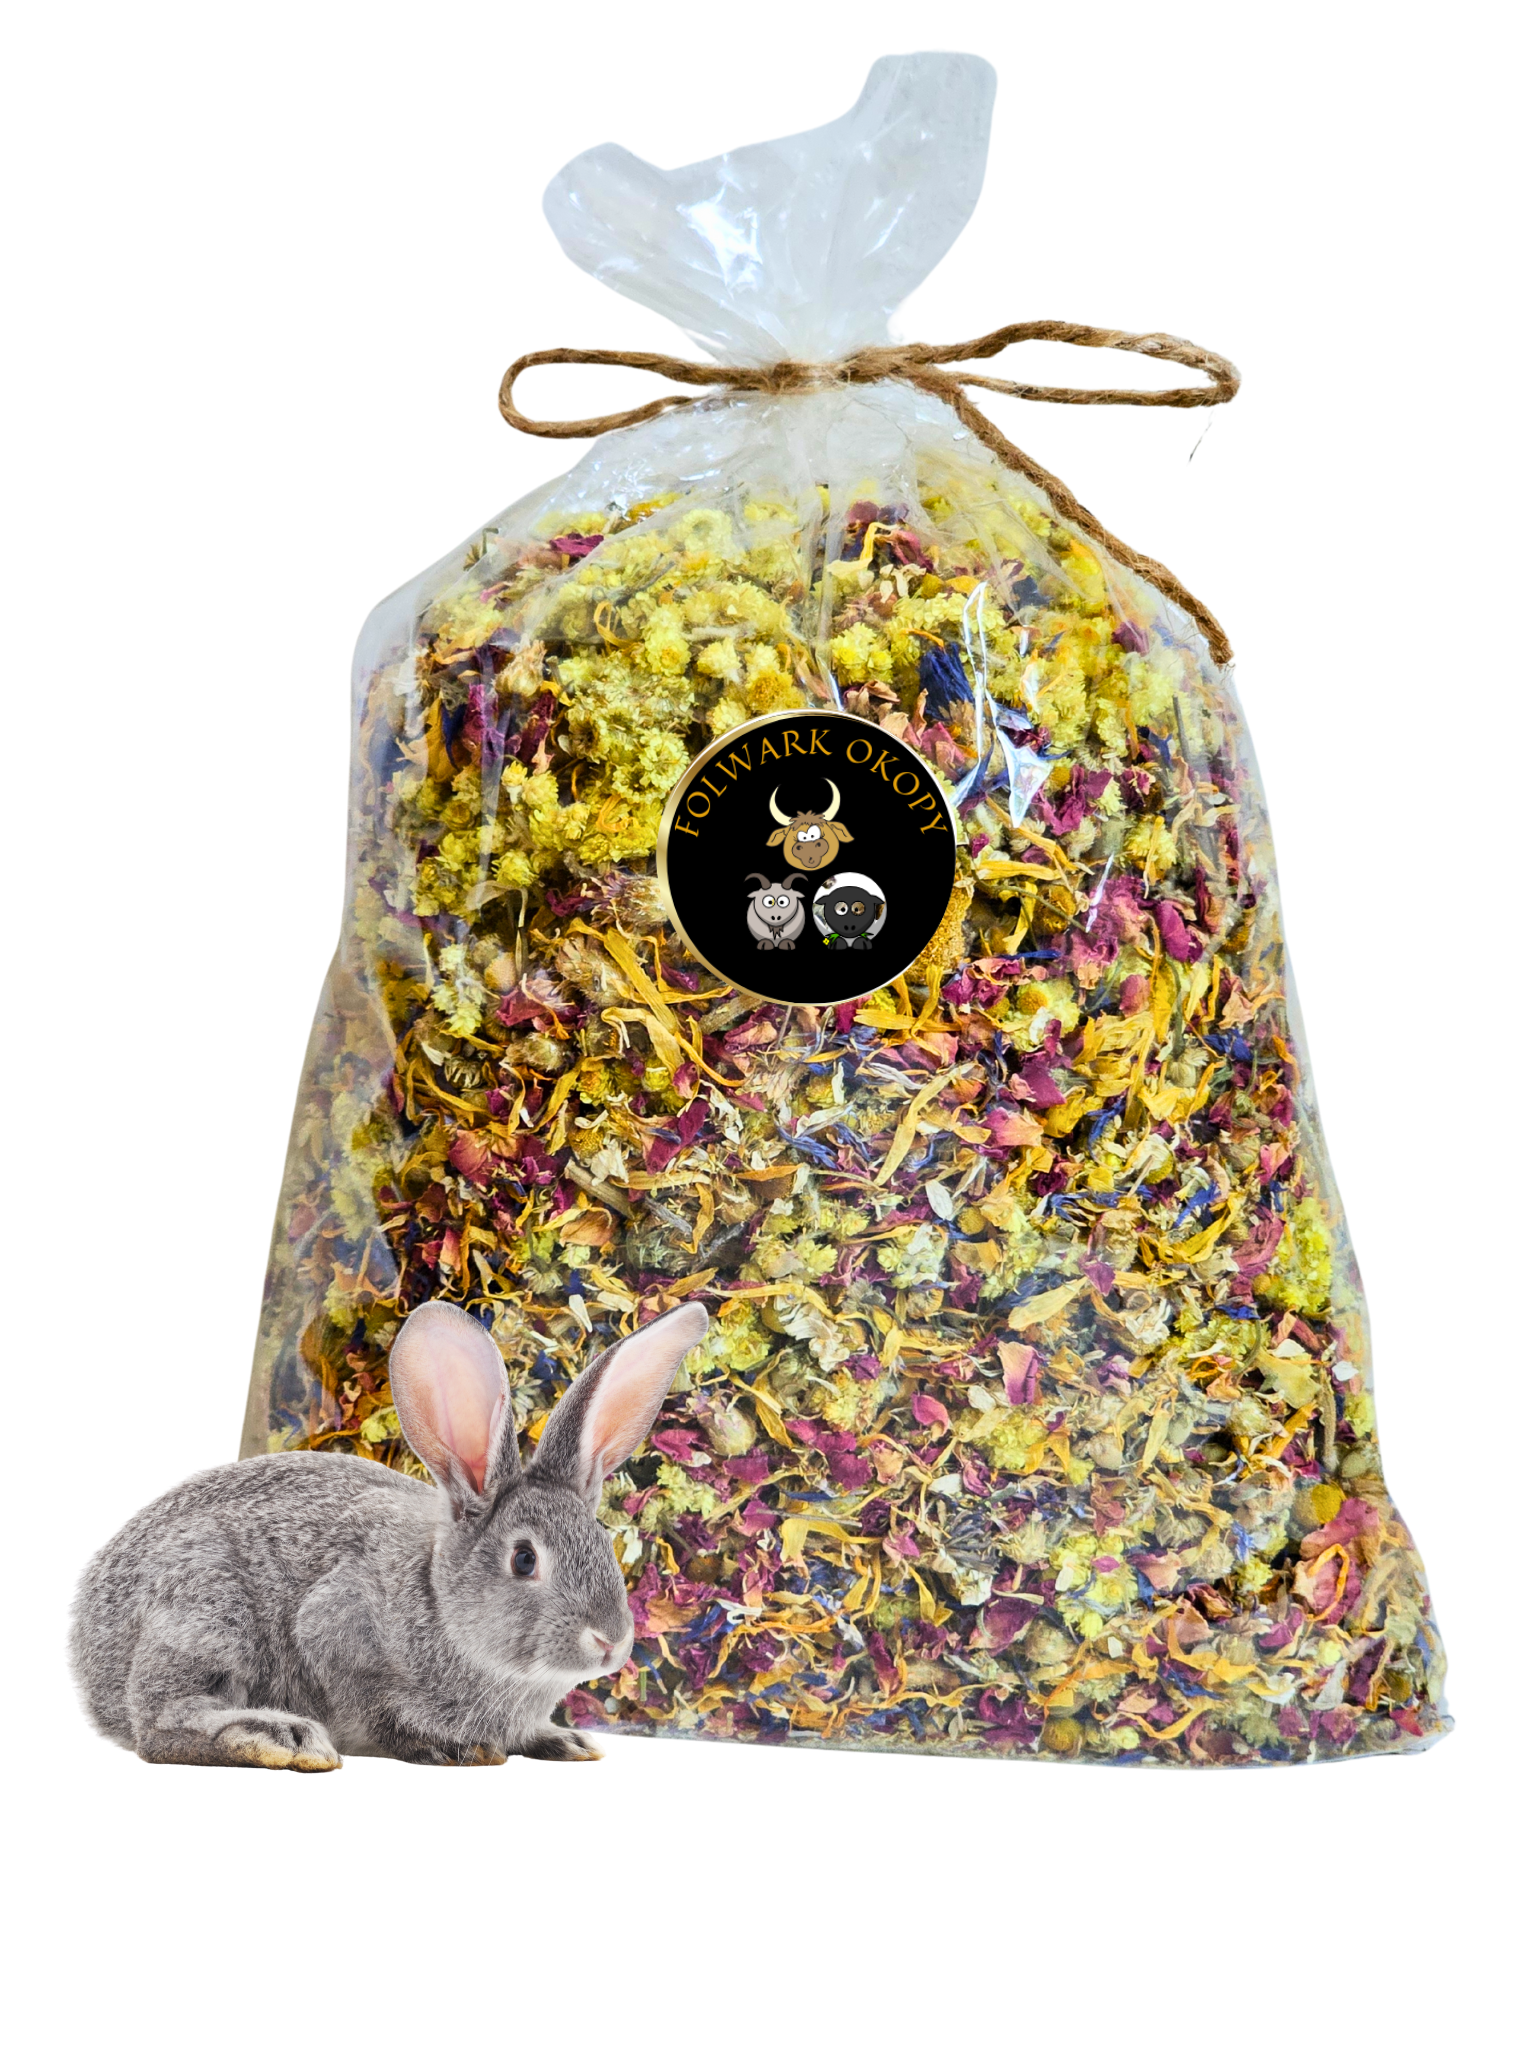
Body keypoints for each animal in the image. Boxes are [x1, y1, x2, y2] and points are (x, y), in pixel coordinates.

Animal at [70, 1297, 708, 1769]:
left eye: (606, 1543)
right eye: (525, 1560)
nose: (611, 1643)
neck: (439, 1602)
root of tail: (85, 1648)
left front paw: (561, 1742)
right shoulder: (336, 1628)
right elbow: (381, 1710)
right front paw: (458, 1749)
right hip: (206, 1612)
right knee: (159, 1726)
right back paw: (282, 1739)